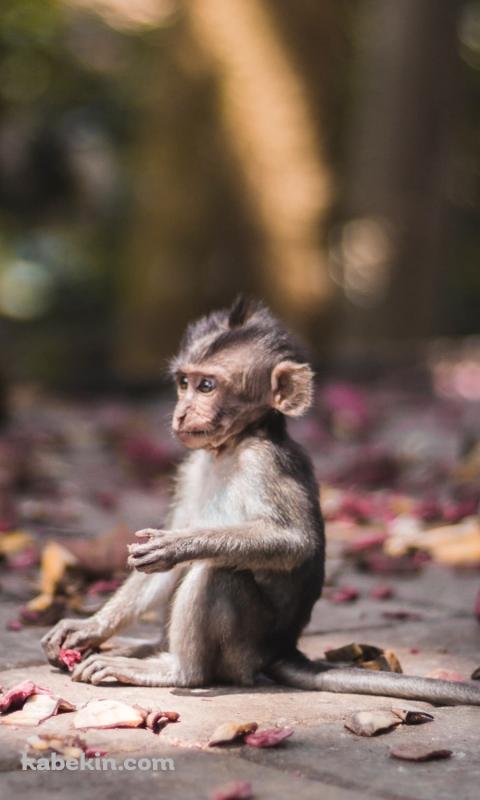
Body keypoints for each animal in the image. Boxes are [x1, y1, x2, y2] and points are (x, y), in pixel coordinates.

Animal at [42, 297, 480, 706]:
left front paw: (179, 545)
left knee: (217, 571)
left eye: (206, 386)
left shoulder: (266, 463)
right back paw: (145, 648)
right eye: (183, 382)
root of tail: (282, 649)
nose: (181, 413)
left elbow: (294, 542)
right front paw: (89, 626)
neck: (233, 445)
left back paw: (175, 669)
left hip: (244, 650)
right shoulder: (191, 467)